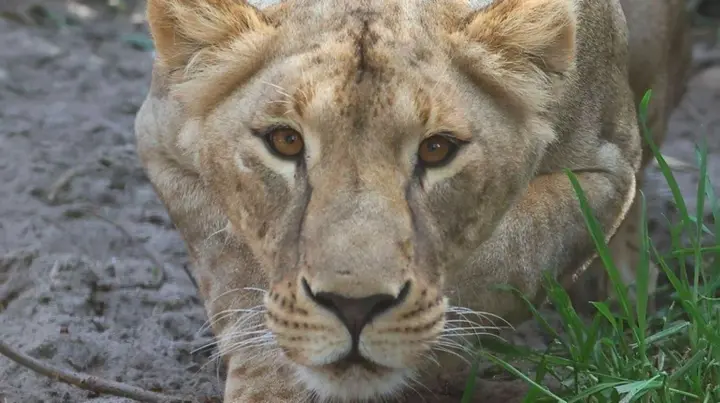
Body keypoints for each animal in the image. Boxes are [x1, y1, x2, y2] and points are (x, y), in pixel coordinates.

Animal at [134, 0, 691, 401]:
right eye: (285, 142)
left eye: (437, 149)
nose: (353, 307)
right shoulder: (161, 142)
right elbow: (238, 278)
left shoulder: (605, 171)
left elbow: (500, 259)